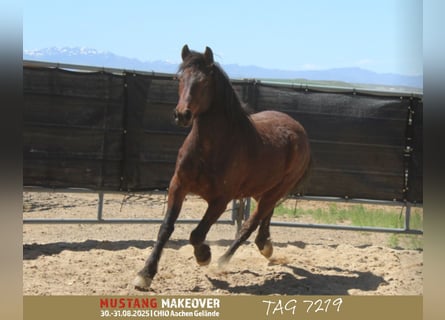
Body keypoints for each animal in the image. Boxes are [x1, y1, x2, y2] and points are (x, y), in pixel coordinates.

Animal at [134, 45, 310, 290]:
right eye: (180, 78)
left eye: (204, 81)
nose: (182, 114)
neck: (209, 150)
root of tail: (299, 130)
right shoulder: (178, 186)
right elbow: (166, 228)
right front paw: (145, 274)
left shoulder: (221, 199)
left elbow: (197, 234)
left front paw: (204, 255)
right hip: (262, 190)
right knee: (265, 215)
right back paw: (265, 245)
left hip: (277, 189)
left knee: (250, 224)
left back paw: (223, 260)